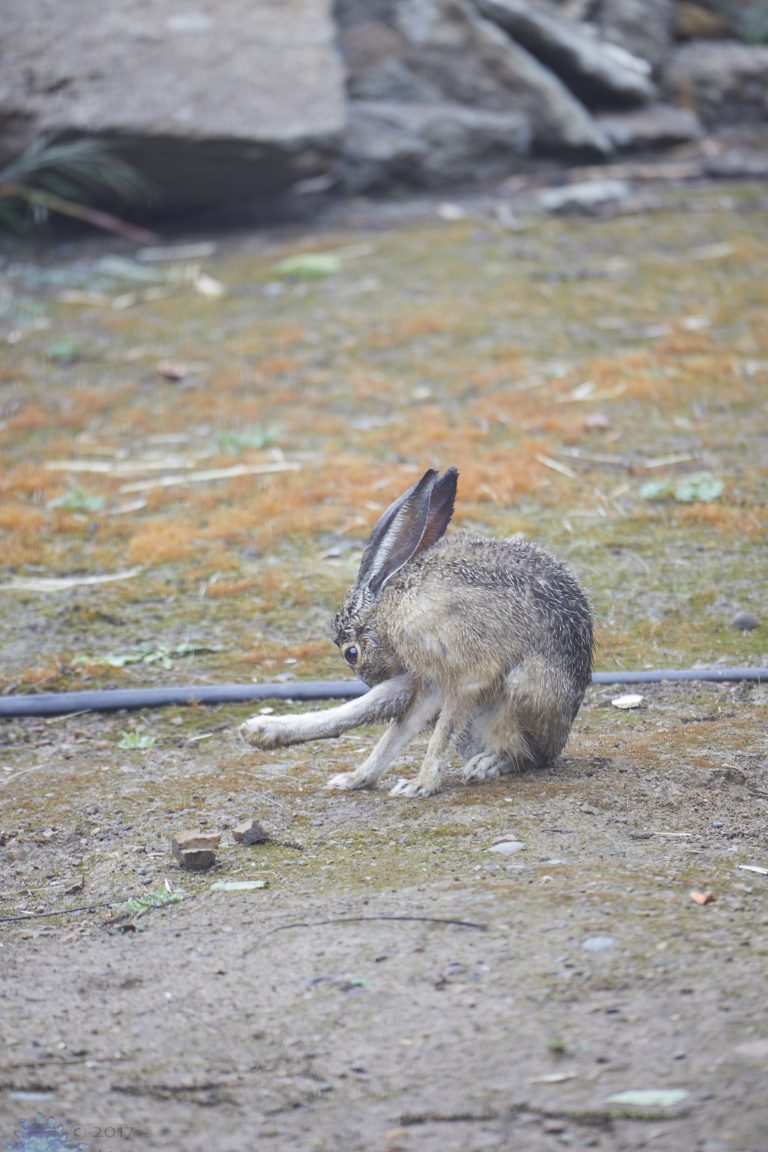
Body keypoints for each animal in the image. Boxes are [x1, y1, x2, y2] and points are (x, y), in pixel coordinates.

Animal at [240, 467, 593, 798]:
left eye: (351, 653)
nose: (371, 680)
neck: (388, 607)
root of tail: (560, 737)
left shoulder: (465, 671)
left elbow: (441, 733)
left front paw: (420, 785)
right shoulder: (430, 678)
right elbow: (398, 730)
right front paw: (358, 779)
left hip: (525, 688)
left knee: (528, 756)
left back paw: (487, 764)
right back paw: (261, 731)